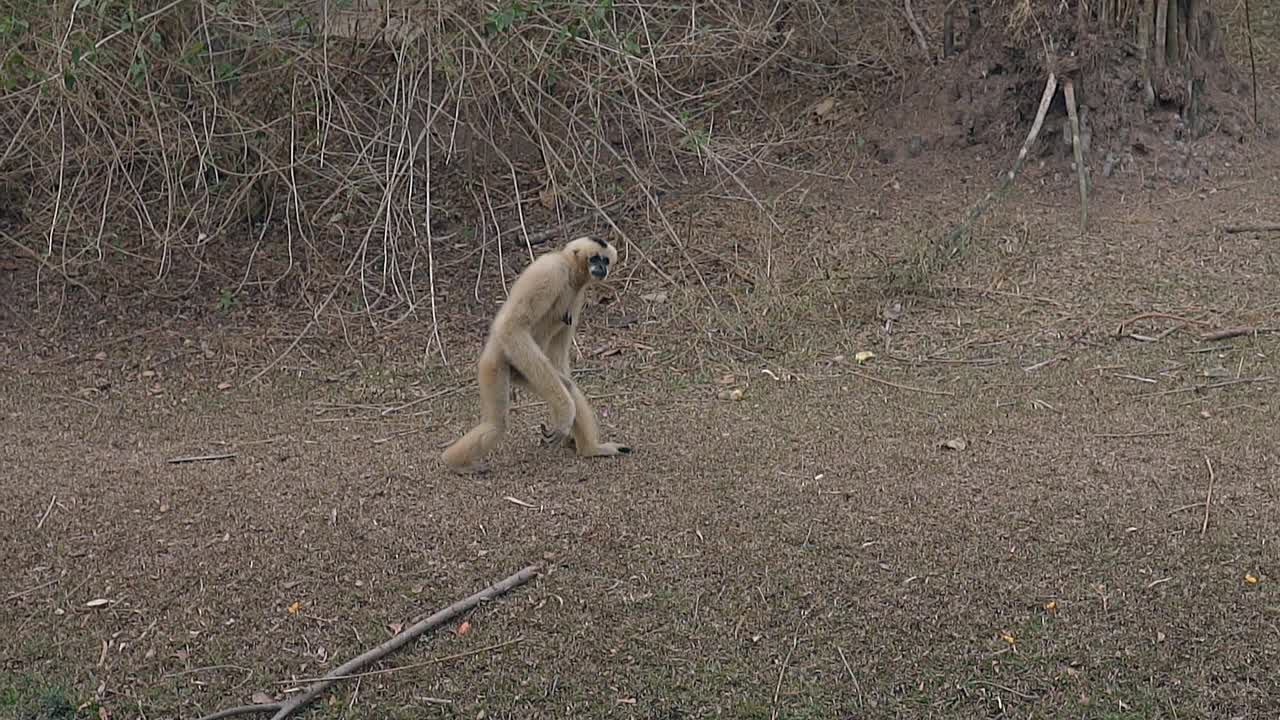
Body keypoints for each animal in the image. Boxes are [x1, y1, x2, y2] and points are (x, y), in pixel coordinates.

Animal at [440, 236, 632, 474]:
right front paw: (564, 417)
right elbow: (512, 327)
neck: (570, 271)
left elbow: (559, 357)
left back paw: (591, 449)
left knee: (566, 385)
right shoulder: (551, 272)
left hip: (526, 373)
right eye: (594, 258)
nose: (601, 267)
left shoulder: (578, 297)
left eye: (605, 260)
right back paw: (454, 463)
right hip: (498, 365)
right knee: (496, 424)